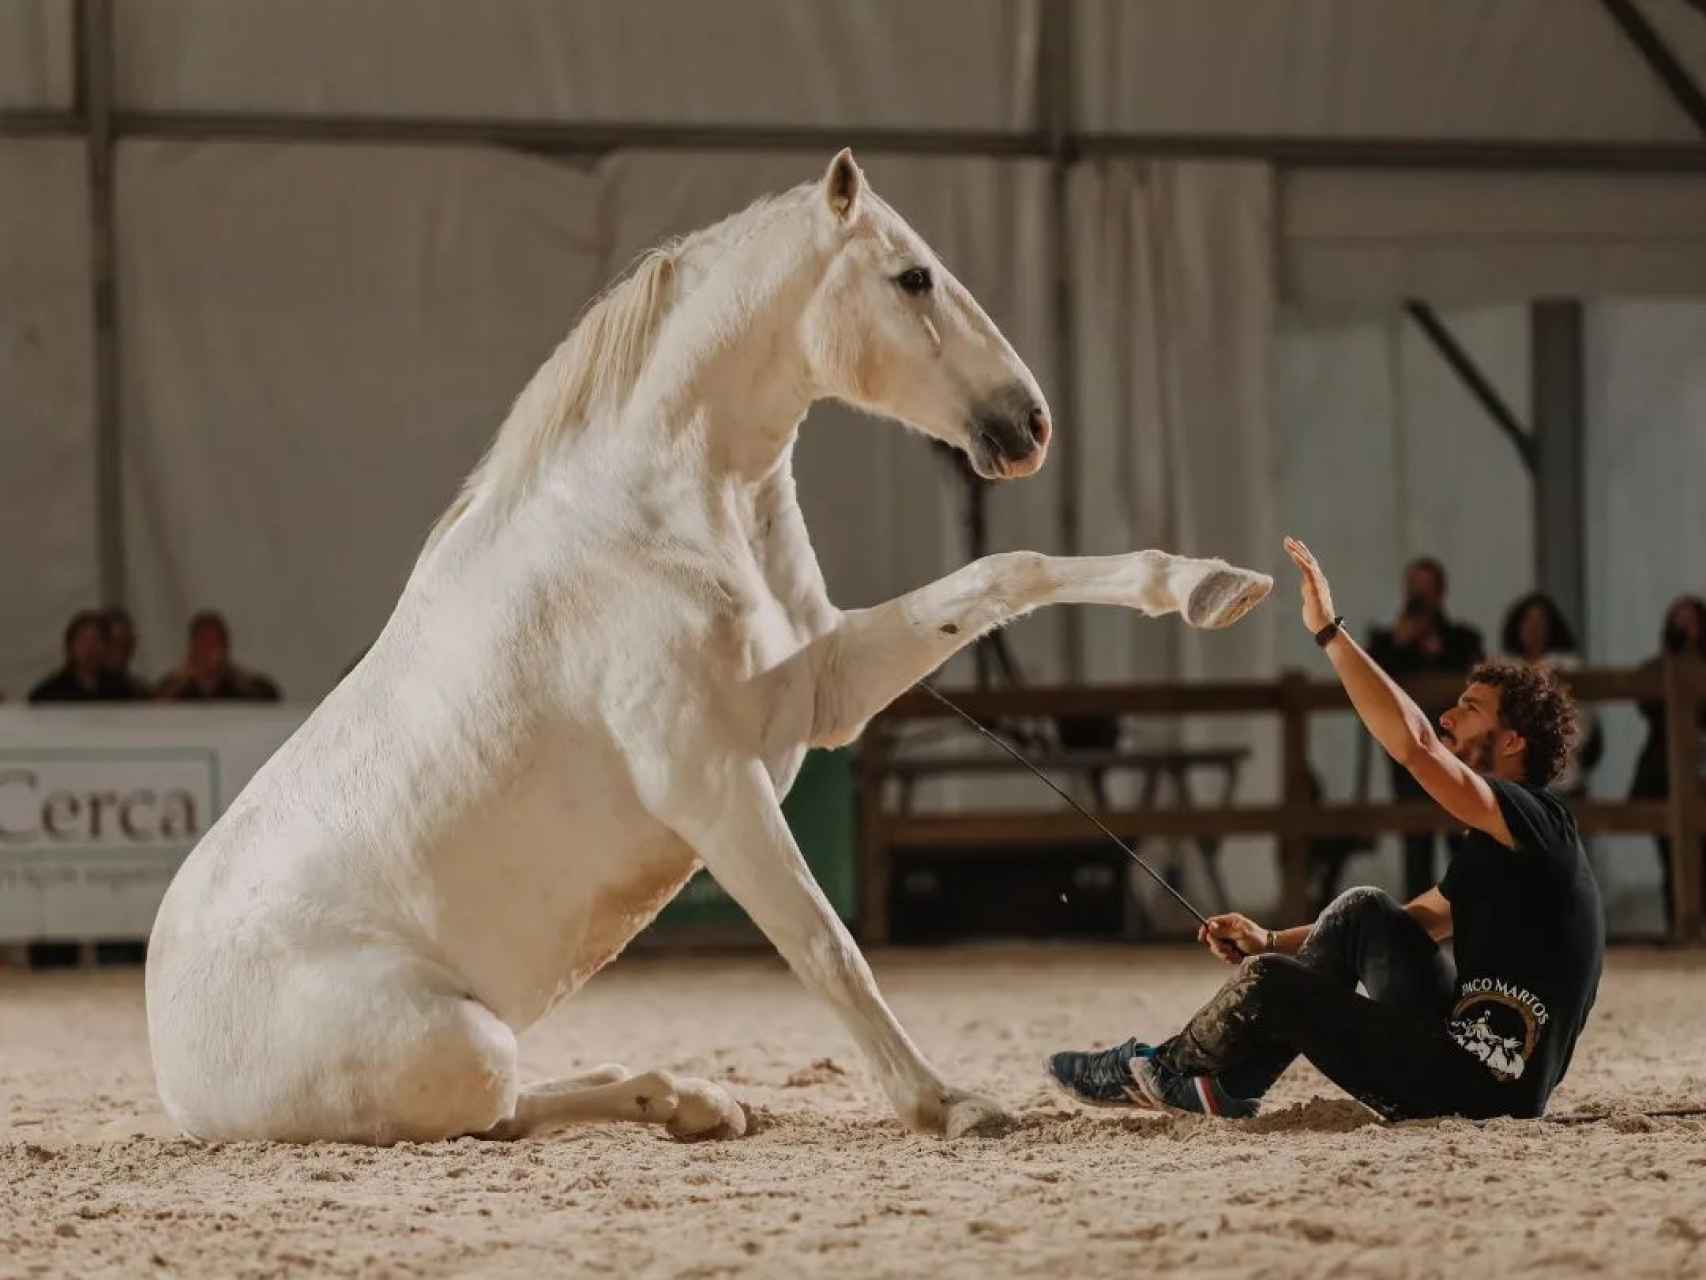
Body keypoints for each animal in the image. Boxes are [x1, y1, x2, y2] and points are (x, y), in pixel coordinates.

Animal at [145, 150, 1272, 1145]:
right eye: (911, 275)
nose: (1027, 423)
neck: (648, 523)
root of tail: (171, 1050)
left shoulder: (820, 690)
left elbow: (1007, 574)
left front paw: (1209, 585)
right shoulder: (709, 782)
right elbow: (827, 945)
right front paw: (949, 1106)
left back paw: (691, 1101)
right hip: (457, 1044)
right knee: (499, 1108)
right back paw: (685, 1101)